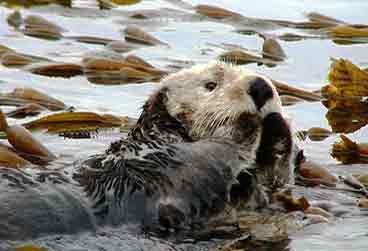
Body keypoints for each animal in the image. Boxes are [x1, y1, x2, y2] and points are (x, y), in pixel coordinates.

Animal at [0, 61, 294, 240]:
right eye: (211, 85)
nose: (260, 86)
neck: (159, 138)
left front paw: (279, 132)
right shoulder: (175, 161)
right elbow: (216, 155)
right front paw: (247, 123)